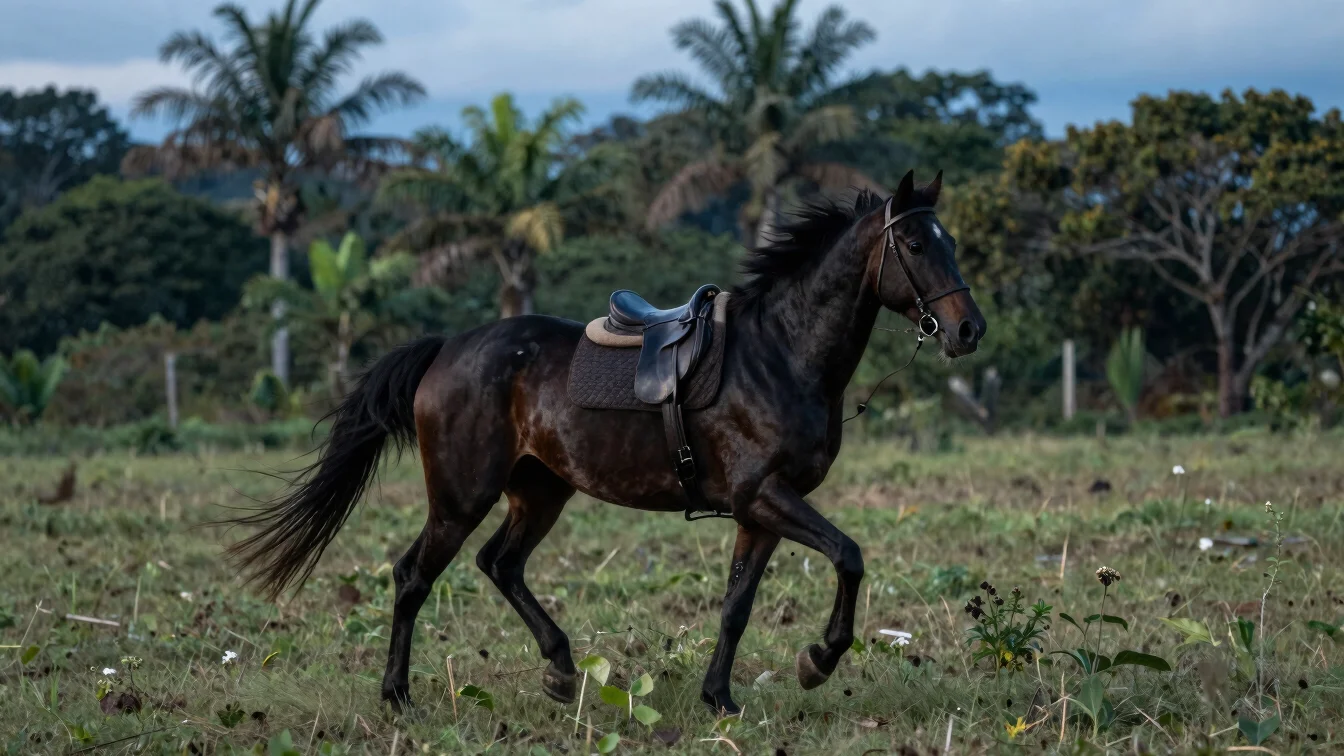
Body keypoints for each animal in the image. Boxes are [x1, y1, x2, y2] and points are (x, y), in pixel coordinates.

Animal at [226, 169, 986, 716]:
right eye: (916, 245)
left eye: (950, 242)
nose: (968, 330)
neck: (781, 353)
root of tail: (448, 349)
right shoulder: (765, 497)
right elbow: (850, 556)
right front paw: (818, 661)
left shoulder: (760, 512)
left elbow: (737, 607)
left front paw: (720, 698)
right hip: (461, 496)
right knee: (414, 575)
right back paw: (398, 697)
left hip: (539, 491)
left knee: (500, 565)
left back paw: (562, 672)